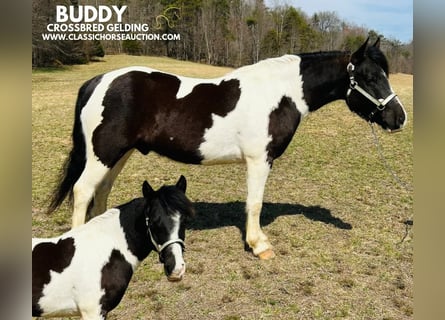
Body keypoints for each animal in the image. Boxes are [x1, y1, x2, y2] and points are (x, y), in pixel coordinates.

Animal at [47, 37, 406, 258]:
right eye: (370, 77)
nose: (398, 117)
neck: (280, 94)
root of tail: (98, 81)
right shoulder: (260, 160)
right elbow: (255, 204)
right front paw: (259, 245)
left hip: (117, 154)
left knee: (102, 190)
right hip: (104, 154)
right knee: (82, 191)